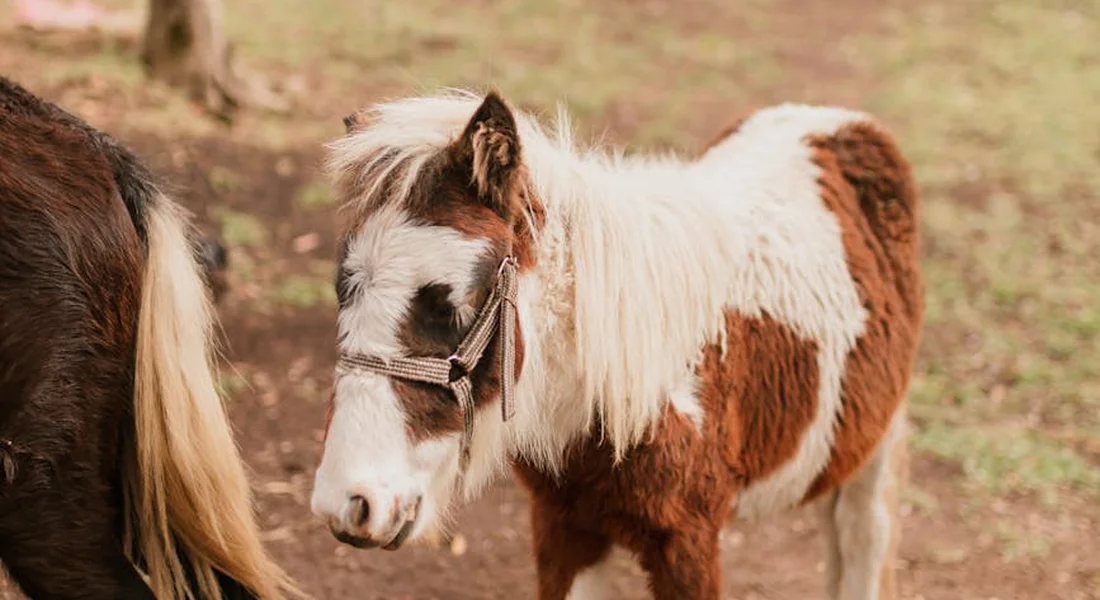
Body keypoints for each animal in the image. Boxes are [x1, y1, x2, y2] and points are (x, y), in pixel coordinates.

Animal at [310, 89, 923, 600]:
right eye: (343, 290)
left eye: (449, 304)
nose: (349, 503)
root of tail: (835, 120)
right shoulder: (564, 525)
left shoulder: (687, 541)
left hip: (879, 449)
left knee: (865, 543)